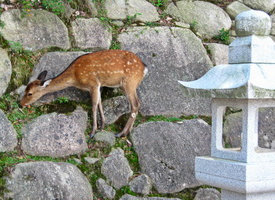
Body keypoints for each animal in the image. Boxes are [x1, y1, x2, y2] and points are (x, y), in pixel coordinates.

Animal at [20, 49, 149, 138]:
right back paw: (127, 132)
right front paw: (102, 126)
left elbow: (93, 106)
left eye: (29, 93)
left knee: (135, 104)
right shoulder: (98, 86)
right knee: (136, 105)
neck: (75, 77)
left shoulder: (93, 84)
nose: (20, 104)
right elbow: (99, 103)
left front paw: (92, 132)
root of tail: (144, 68)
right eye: (25, 90)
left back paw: (121, 133)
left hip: (129, 82)